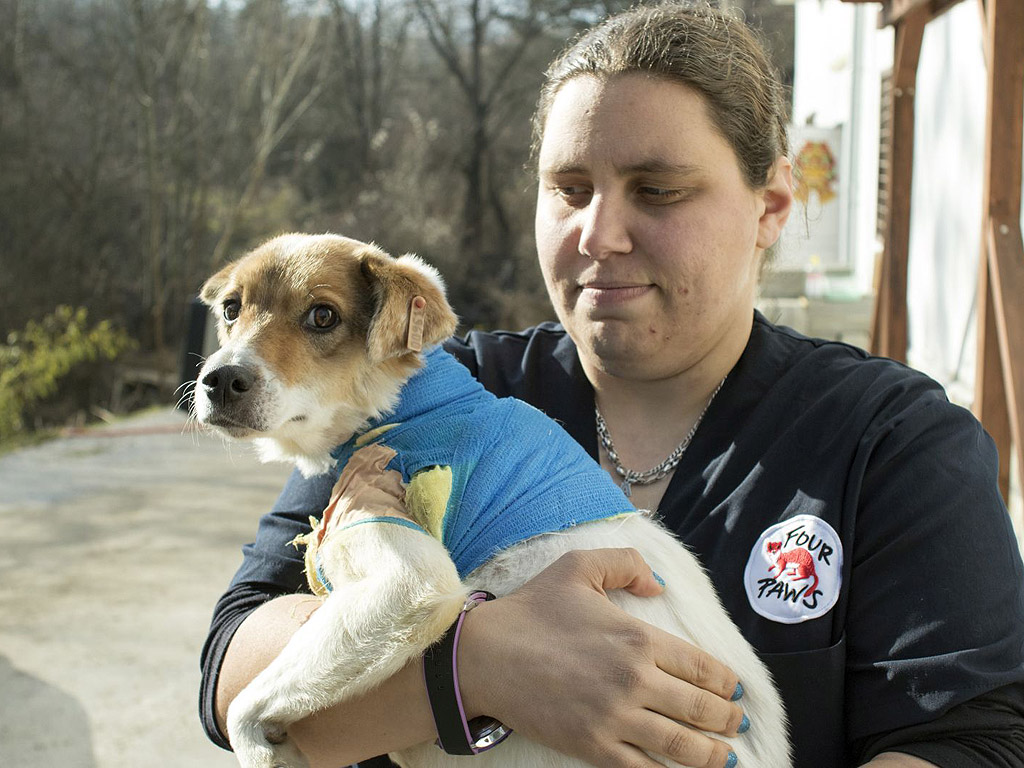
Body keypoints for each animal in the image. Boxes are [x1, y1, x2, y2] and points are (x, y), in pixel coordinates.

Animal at [193, 234, 790, 768]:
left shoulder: (409, 584)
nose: (219, 379)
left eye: (322, 316)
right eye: (230, 309)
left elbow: (245, 708)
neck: (409, 404)